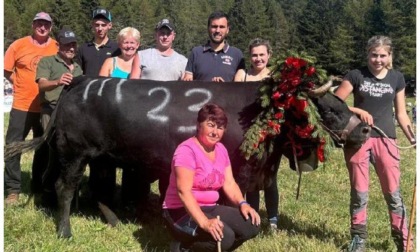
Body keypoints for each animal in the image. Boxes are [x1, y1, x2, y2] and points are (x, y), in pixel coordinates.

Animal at [4, 76, 370, 237]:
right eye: (330, 108)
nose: (366, 129)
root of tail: (82, 81)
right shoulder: (240, 168)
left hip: (103, 156)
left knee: (98, 188)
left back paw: (116, 221)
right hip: (74, 153)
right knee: (66, 188)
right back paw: (65, 231)